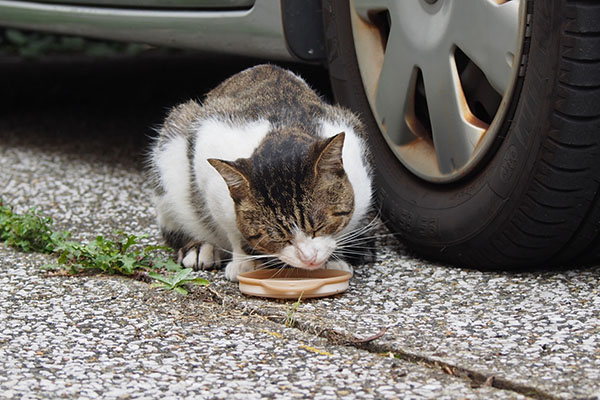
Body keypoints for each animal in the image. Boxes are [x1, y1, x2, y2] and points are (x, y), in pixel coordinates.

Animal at [148, 64, 372, 282]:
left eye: (320, 226)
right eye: (277, 237)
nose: (308, 258)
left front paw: (333, 259)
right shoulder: (209, 170)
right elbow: (231, 227)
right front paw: (244, 261)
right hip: (173, 143)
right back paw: (199, 247)